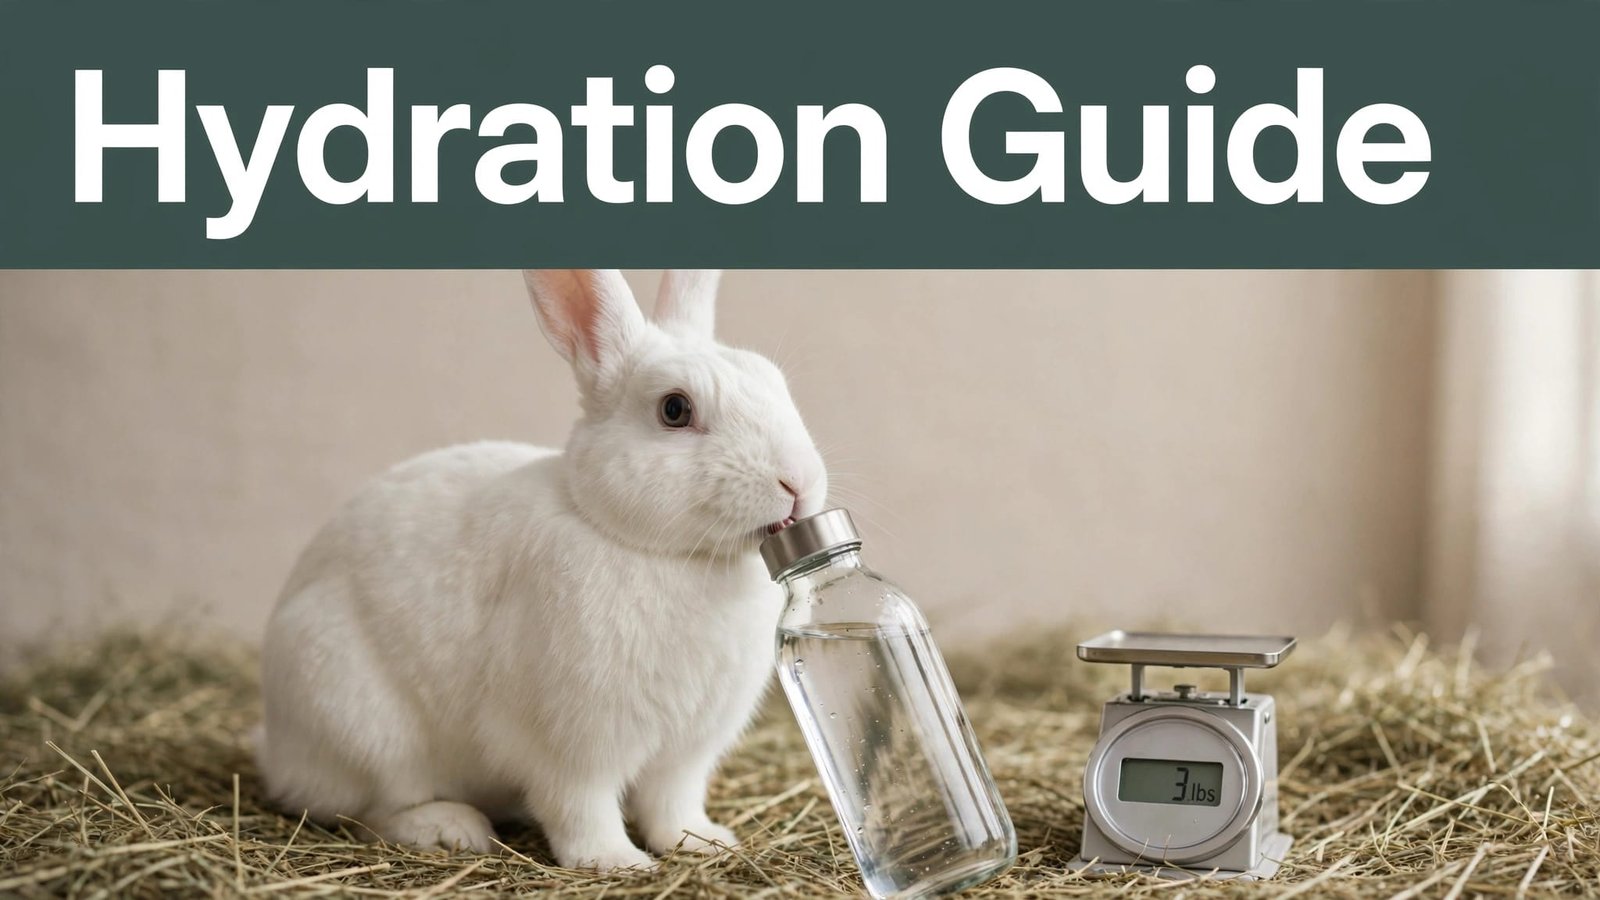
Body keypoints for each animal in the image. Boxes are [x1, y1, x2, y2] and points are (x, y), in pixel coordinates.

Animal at [257, 269, 827, 871]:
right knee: (369, 811)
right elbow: (580, 808)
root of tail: (277, 749)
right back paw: (449, 829)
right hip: (364, 728)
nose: (798, 481)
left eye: (774, 382)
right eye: (675, 409)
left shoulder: (685, 753)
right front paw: (615, 862)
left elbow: (672, 805)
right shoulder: (569, 746)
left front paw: (702, 841)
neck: (665, 553)